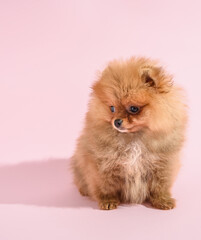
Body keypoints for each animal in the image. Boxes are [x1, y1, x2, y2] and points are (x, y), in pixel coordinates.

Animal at [72, 56, 187, 210]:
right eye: (112, 108)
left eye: (133, 108)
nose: (116, 122)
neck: (134, 138)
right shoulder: (103, 164)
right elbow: (105, 186)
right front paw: (108, 201)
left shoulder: (162, 164)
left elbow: (160, 186)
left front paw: (163, 200)